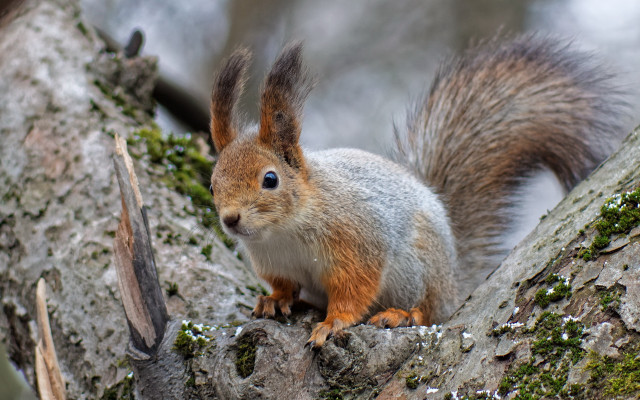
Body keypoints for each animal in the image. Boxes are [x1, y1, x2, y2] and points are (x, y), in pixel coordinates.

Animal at [207, 36, 625, 348]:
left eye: (270, 179)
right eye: (212, 183)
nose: (231, 220)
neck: (284, 230)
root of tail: (453, 278)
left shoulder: (358, 242)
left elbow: (354, 290)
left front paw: (332, 323)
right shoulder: (274, 263)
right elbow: (283, 285)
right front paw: (274, 300)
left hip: (417, 269)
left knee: (428, 310)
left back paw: (402, 314)